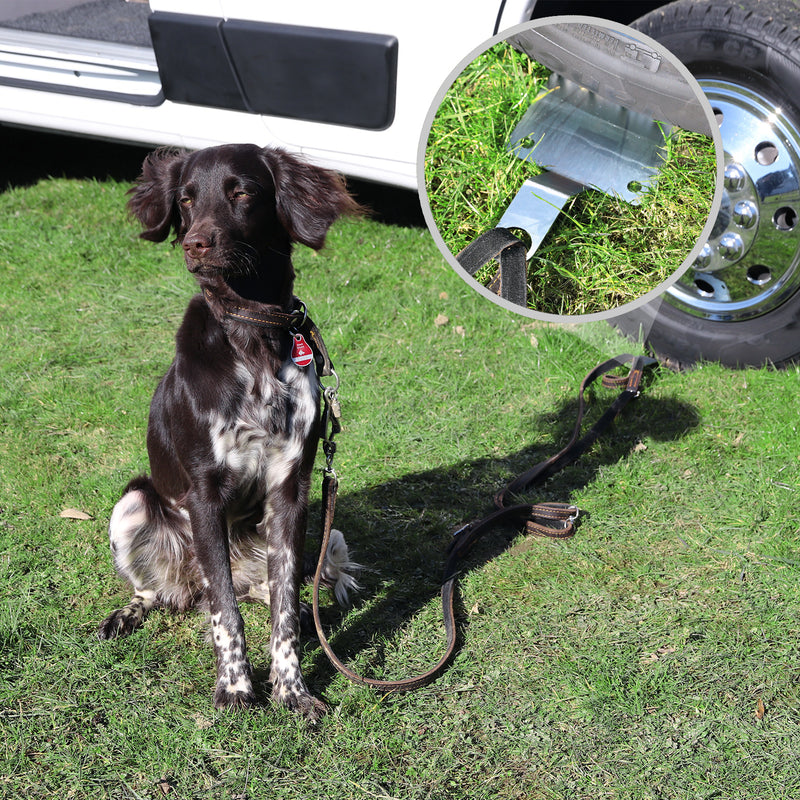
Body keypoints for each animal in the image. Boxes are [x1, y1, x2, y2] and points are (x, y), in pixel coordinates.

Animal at [97, 144, 362, 720]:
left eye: (242, 191)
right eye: (185, 200)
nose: (195, 243)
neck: (253, 335)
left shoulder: (292, 486)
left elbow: (284, 606)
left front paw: (292, 690)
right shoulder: (203, 493)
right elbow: (224, 611)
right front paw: (237, 687)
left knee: (279, 589)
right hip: (133, 504)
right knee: (169, 592)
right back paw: (128, 614)